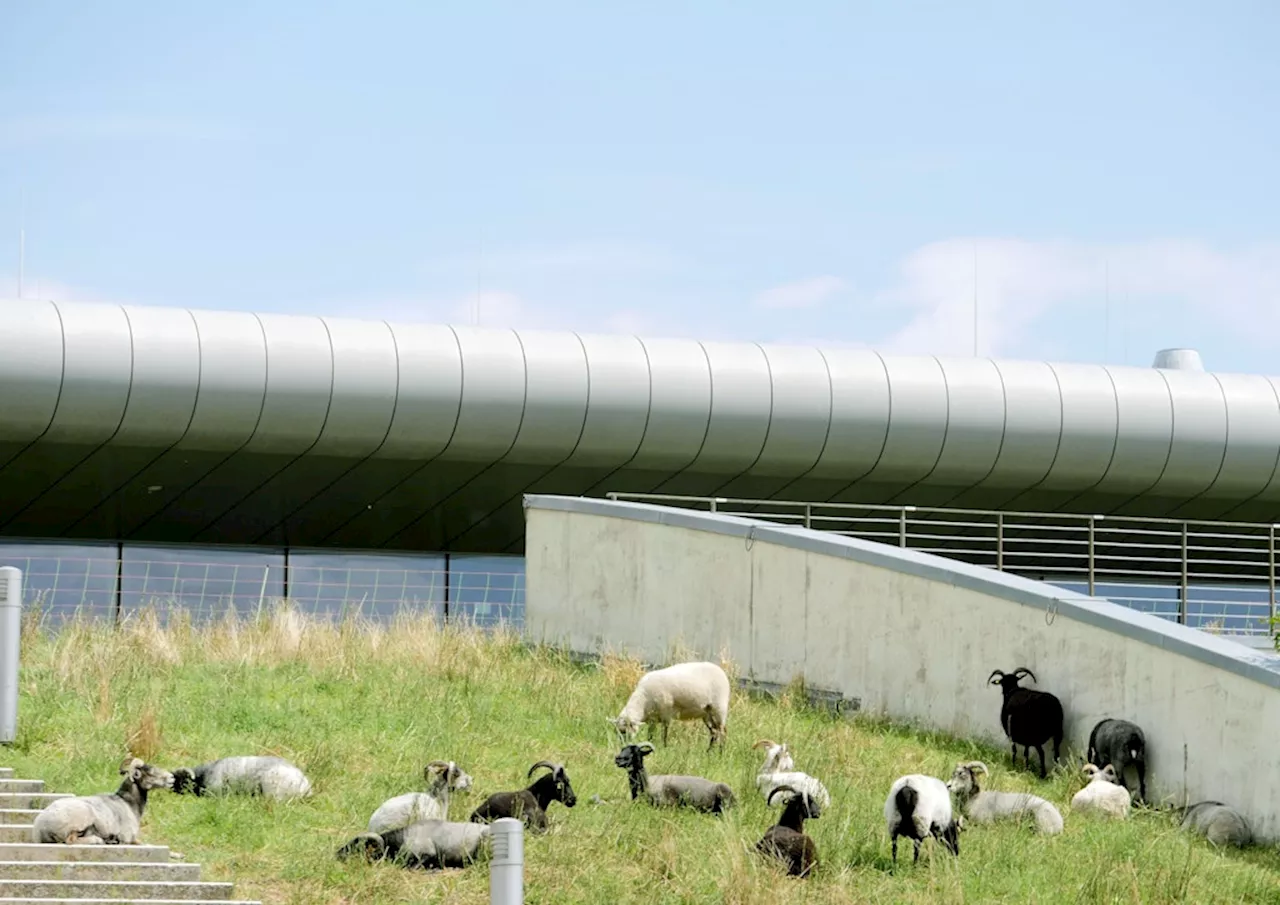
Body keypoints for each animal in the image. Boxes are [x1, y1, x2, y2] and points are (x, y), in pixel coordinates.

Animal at [34, 752, 175, 844]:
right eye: (150, 772)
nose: (172, 778)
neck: (128, 803)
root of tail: (42, 827)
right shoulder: (129, 837)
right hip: (81, 818)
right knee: (71, 840)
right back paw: (99, 840)